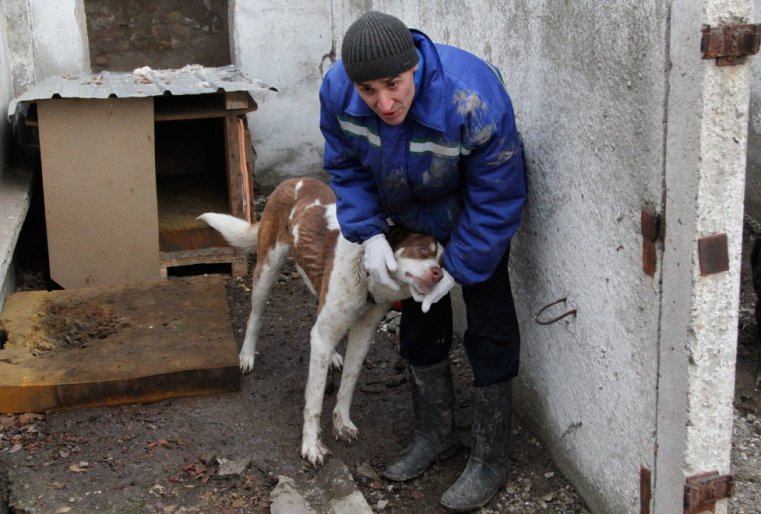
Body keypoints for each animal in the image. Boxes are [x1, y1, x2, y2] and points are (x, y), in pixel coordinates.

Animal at [199, 178, 442, 466]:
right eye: (422, 250)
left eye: (442, 261)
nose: (439, 274)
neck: (366, 273)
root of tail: (295, 181)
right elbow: (314, 401)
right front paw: (311, 445)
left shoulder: (364, 331)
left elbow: (348, 382)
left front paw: (342, 423)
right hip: (267, 269)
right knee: (255, 317)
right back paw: (247, 355)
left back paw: (333, 355)